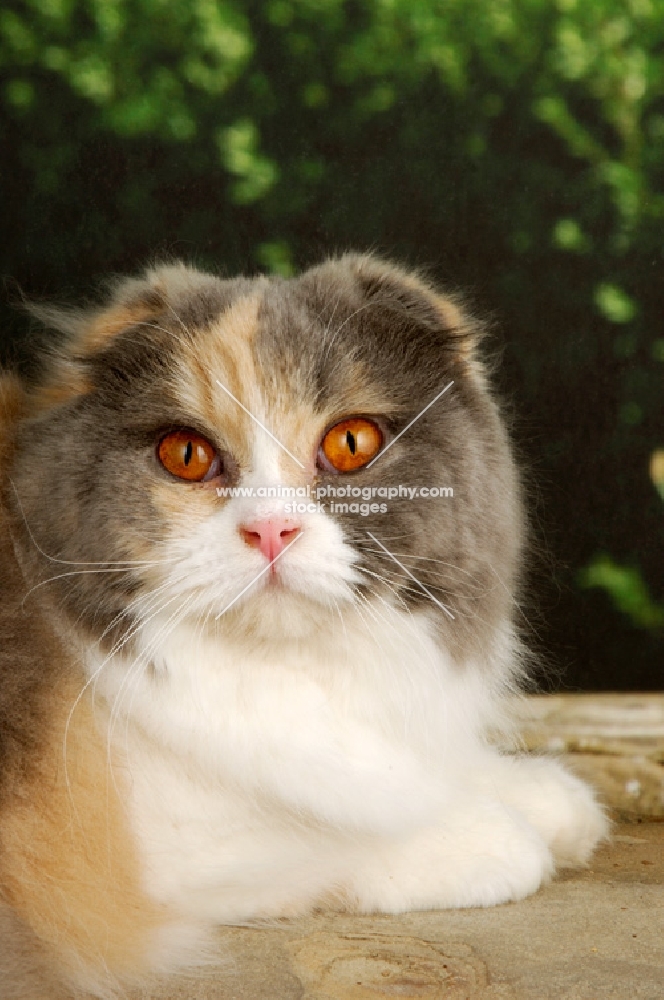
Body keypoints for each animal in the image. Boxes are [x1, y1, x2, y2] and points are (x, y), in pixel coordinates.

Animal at [0, 258, 608, 1000]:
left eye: (349, 444)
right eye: (186, 455)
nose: (271, 530)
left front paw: (546, 800)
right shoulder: (144, 844)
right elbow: (336, 832)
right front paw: (495, 837)